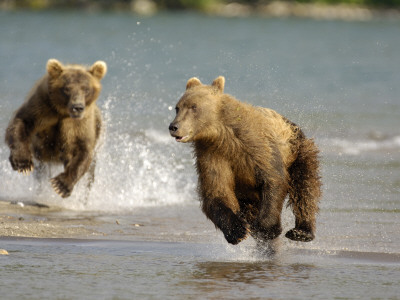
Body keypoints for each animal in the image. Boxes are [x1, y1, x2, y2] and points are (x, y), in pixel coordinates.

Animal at [5, 59, 108, 198]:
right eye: (67, 88)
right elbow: (21, 122)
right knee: (41, 172)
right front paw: (23, 163)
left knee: (89, 176)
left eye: (86, 89)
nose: (77, 107)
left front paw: (60, 185)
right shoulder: (41, 107)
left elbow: (82, 150)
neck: (62, 112)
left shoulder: (82, 124)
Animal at [169, 76, 322, 245]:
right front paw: (237, 231)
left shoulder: (257, 146)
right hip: (246, 193)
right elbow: (216, 191)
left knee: (305, 187)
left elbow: (274, 178)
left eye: (193, 107)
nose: (173, 126)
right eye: (177, 107)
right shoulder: (212, 155)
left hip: (297, 150)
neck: (221, 135)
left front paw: (267, 228)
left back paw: (301, 231)